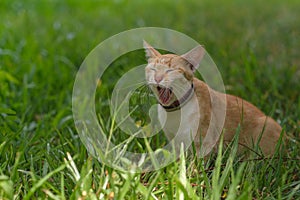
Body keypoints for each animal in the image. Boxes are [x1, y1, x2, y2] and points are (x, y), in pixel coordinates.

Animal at [144, 40, 282, 156]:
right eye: (153, 69)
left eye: (170, 70)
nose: (157, 78)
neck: (175, 111)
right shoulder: (175, 142)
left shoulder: (204, 142)